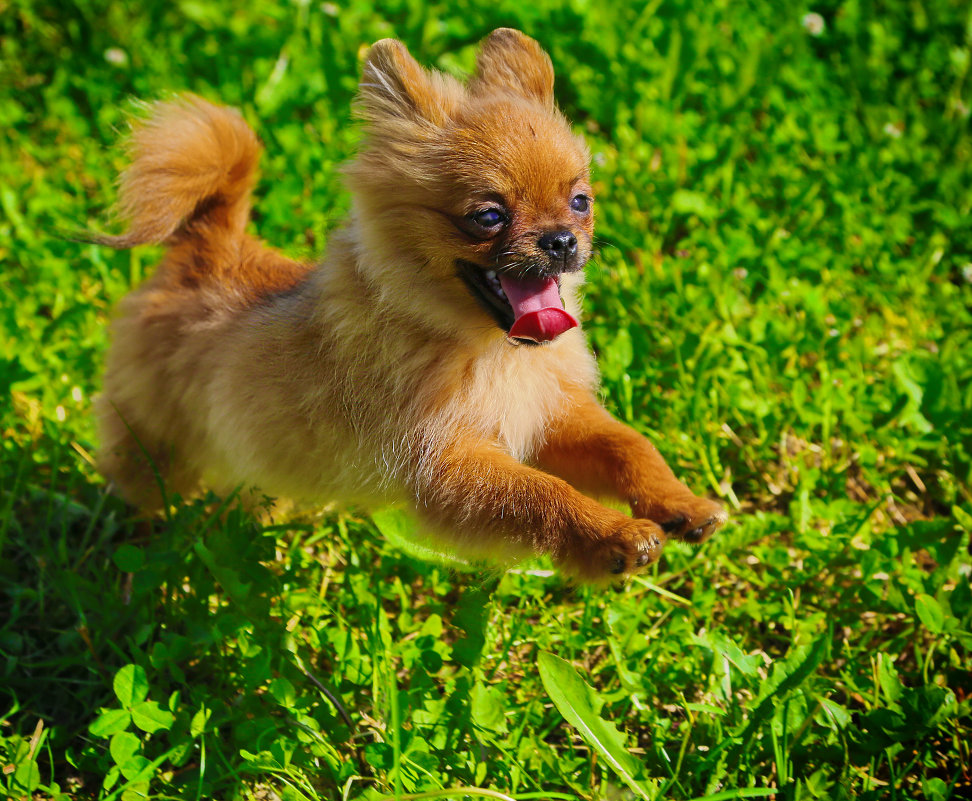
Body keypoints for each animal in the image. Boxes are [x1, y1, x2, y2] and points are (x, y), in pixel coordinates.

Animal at [95, 28, 724, 580]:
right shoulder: (445, 463)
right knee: (144, 479)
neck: (490, 349)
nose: (562, 240)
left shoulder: (549, 415)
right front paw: (613, 536)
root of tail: (210, 241)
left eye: (580, 202)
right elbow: (539, 493)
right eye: (488, 216)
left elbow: (627, 445)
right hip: (158, 436)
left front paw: (679, 502)